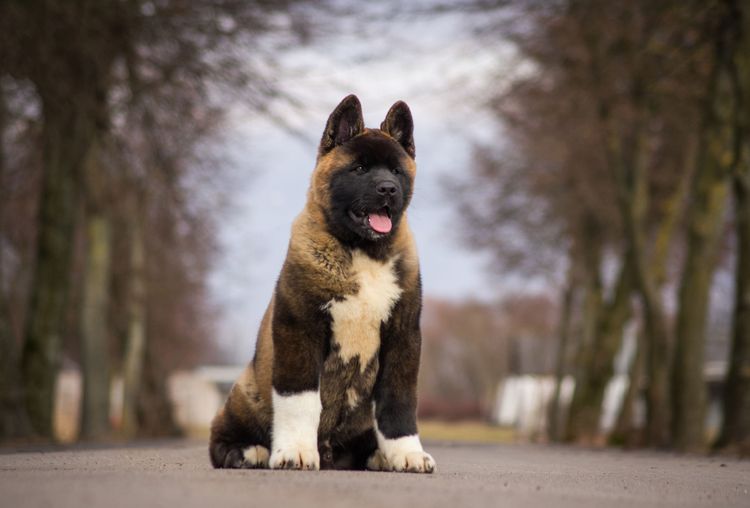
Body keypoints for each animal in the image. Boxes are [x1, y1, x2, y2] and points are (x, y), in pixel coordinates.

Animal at [210, 94, 434, 472]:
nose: (388, 189)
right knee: (220, 439)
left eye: (396, 171)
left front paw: (407, 453)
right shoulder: (300, 328)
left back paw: (378, 456)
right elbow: (300, 399)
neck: (362, 252)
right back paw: (247, 451)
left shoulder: (403, 335)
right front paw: (295, 451)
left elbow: (399, 401)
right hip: (245, 391)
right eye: (359, 169)